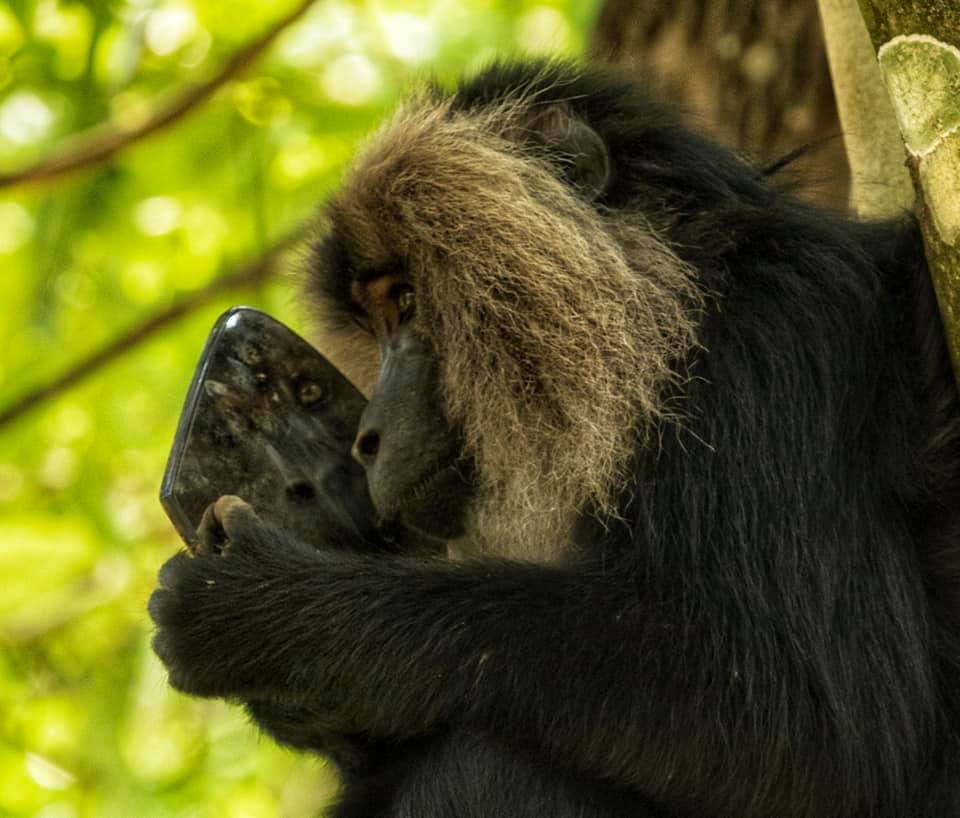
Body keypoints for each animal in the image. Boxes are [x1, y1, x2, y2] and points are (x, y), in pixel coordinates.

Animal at [148, 59, 960, 816]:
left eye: (407, 302)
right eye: (373, 329)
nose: (367, 438)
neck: (672, 328)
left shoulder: (776, 346)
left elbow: (821, 725)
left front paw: (269, 610)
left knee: (485, 767)